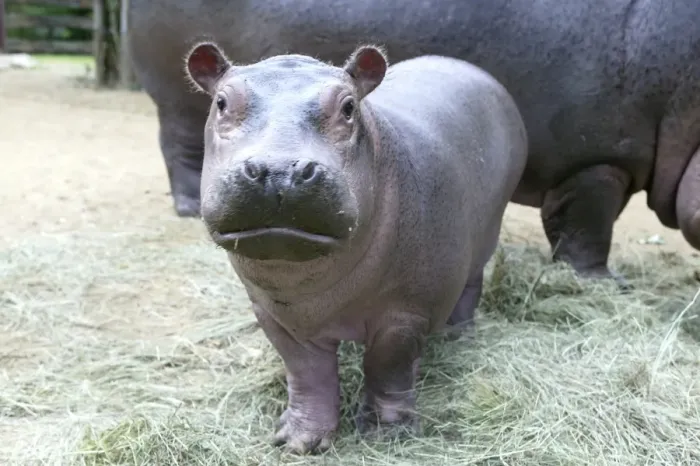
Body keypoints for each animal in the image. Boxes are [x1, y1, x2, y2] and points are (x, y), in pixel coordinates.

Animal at [129, 0, 700, 285]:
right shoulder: (596, 160)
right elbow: (587, 229)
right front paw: (603, 283)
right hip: (176, 98)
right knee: (180, 147)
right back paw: (187, 209)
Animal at [184, 40, 528, 453]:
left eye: (348, 107)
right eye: (221, 102)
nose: (279, 170)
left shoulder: (403, 315)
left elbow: (387, 367)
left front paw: (386, 433)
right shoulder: (277, 317)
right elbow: (307, 374)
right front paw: (298, 441)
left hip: (487, 234)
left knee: (471, 286)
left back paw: (457, 334)